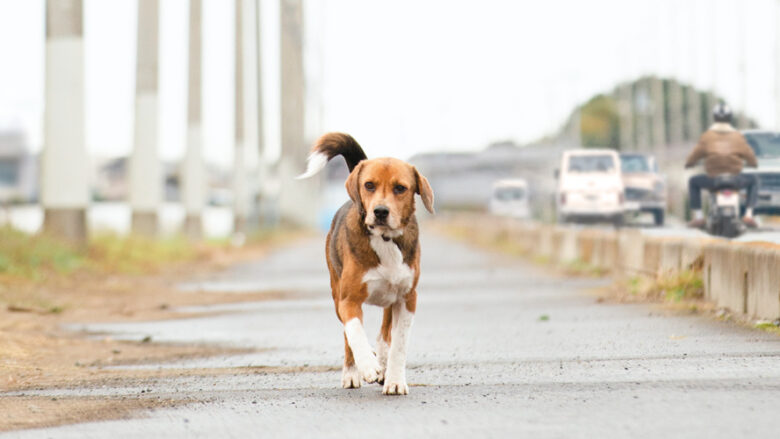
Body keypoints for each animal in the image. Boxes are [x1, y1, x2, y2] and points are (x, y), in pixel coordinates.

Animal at [298, 133, 432, 396]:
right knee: (348, 336)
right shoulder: (348, 300)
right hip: (336, 293)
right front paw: (368, 367)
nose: (380, 211)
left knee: (384, 335)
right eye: (369, 185)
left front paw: (394, 380)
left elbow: (398, 344)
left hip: (391, 298)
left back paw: (382, 362)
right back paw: (352, 373)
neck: (385, 239)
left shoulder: (408, 299)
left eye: (400, 188)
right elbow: (355, 332)